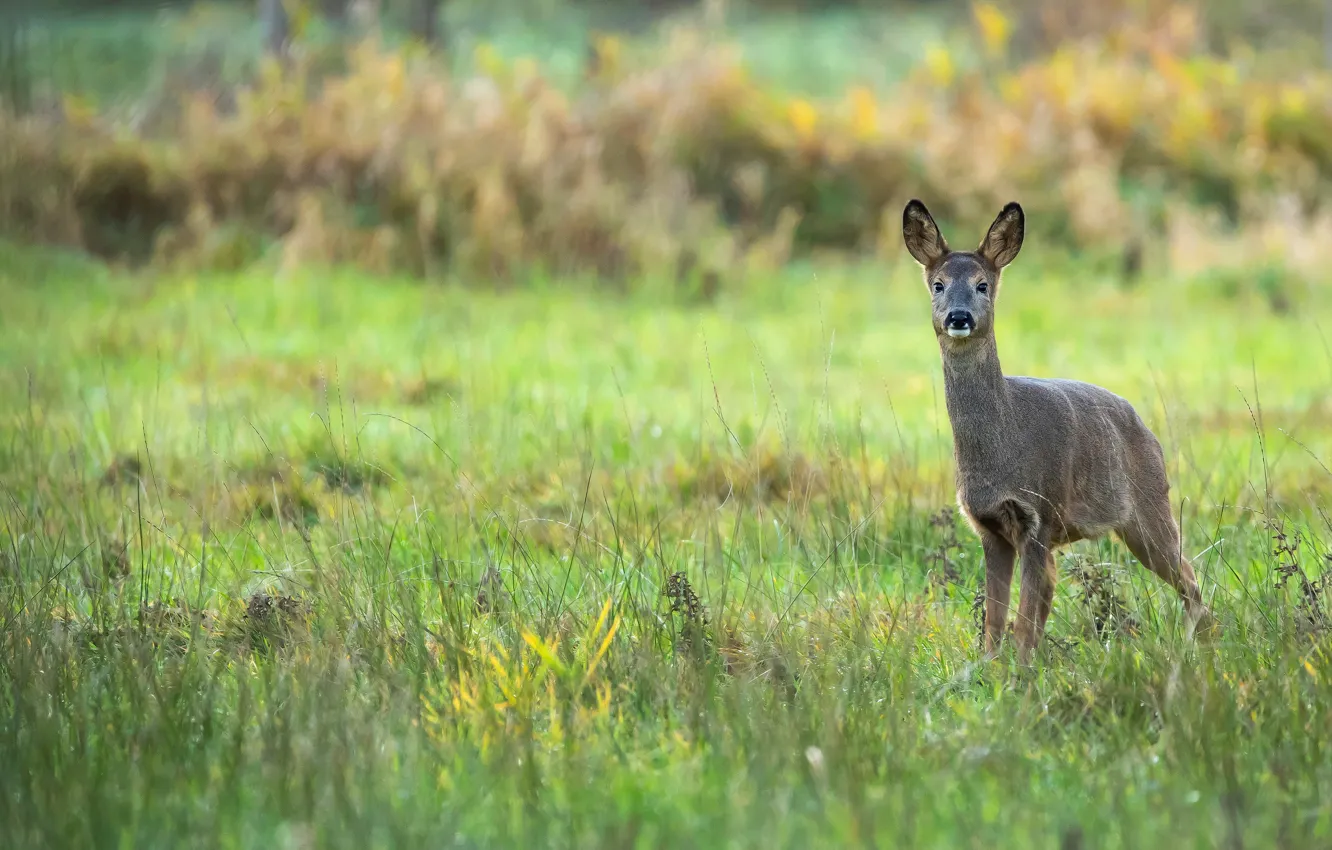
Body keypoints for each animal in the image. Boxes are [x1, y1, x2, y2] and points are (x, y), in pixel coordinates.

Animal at [901, 199, 1216, 664]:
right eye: (938, 285)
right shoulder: (989, 527)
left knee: (1191, 581)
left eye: (982, 285)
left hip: (1150, 508)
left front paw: (1022, 674)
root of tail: (1147, 429)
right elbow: (995, 624)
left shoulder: (1041, 518)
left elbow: (1023, 625)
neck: (1002, 446)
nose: (959, 317)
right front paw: (989, 671)